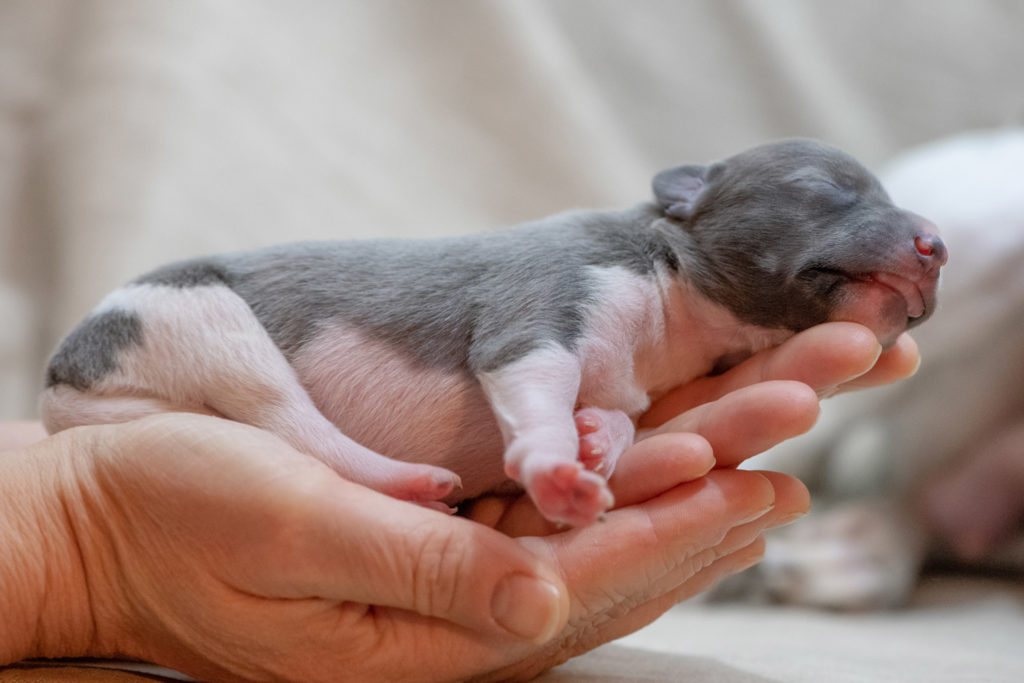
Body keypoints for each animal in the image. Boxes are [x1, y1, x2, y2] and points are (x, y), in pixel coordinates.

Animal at [44, 137, 946, 524]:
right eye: (826, 186)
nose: (938, 245)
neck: (666, 278)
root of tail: (62, 390)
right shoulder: (543, 304)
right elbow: (532, 379)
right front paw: (555, 465)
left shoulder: (627, 377)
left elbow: (617, 410)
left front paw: (601, 439)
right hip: (201, 320)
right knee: (291, 424)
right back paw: (408, 483)